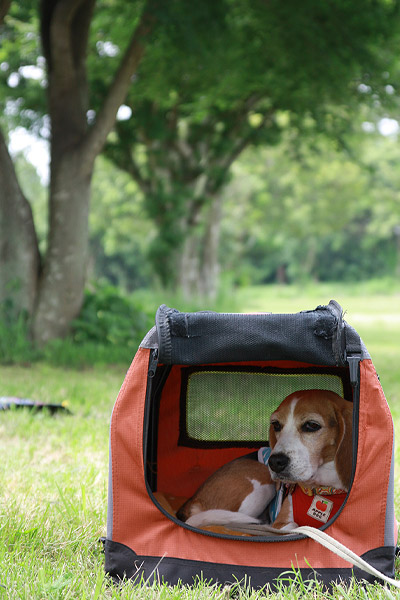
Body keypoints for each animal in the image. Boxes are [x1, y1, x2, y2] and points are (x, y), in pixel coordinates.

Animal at [177, 390, 352, 528]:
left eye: (312, 425)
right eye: (276, 425)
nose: (274, 462)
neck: (325, 489)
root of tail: (193, 499)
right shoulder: (281, 524)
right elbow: (296, 526)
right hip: (261, 478)